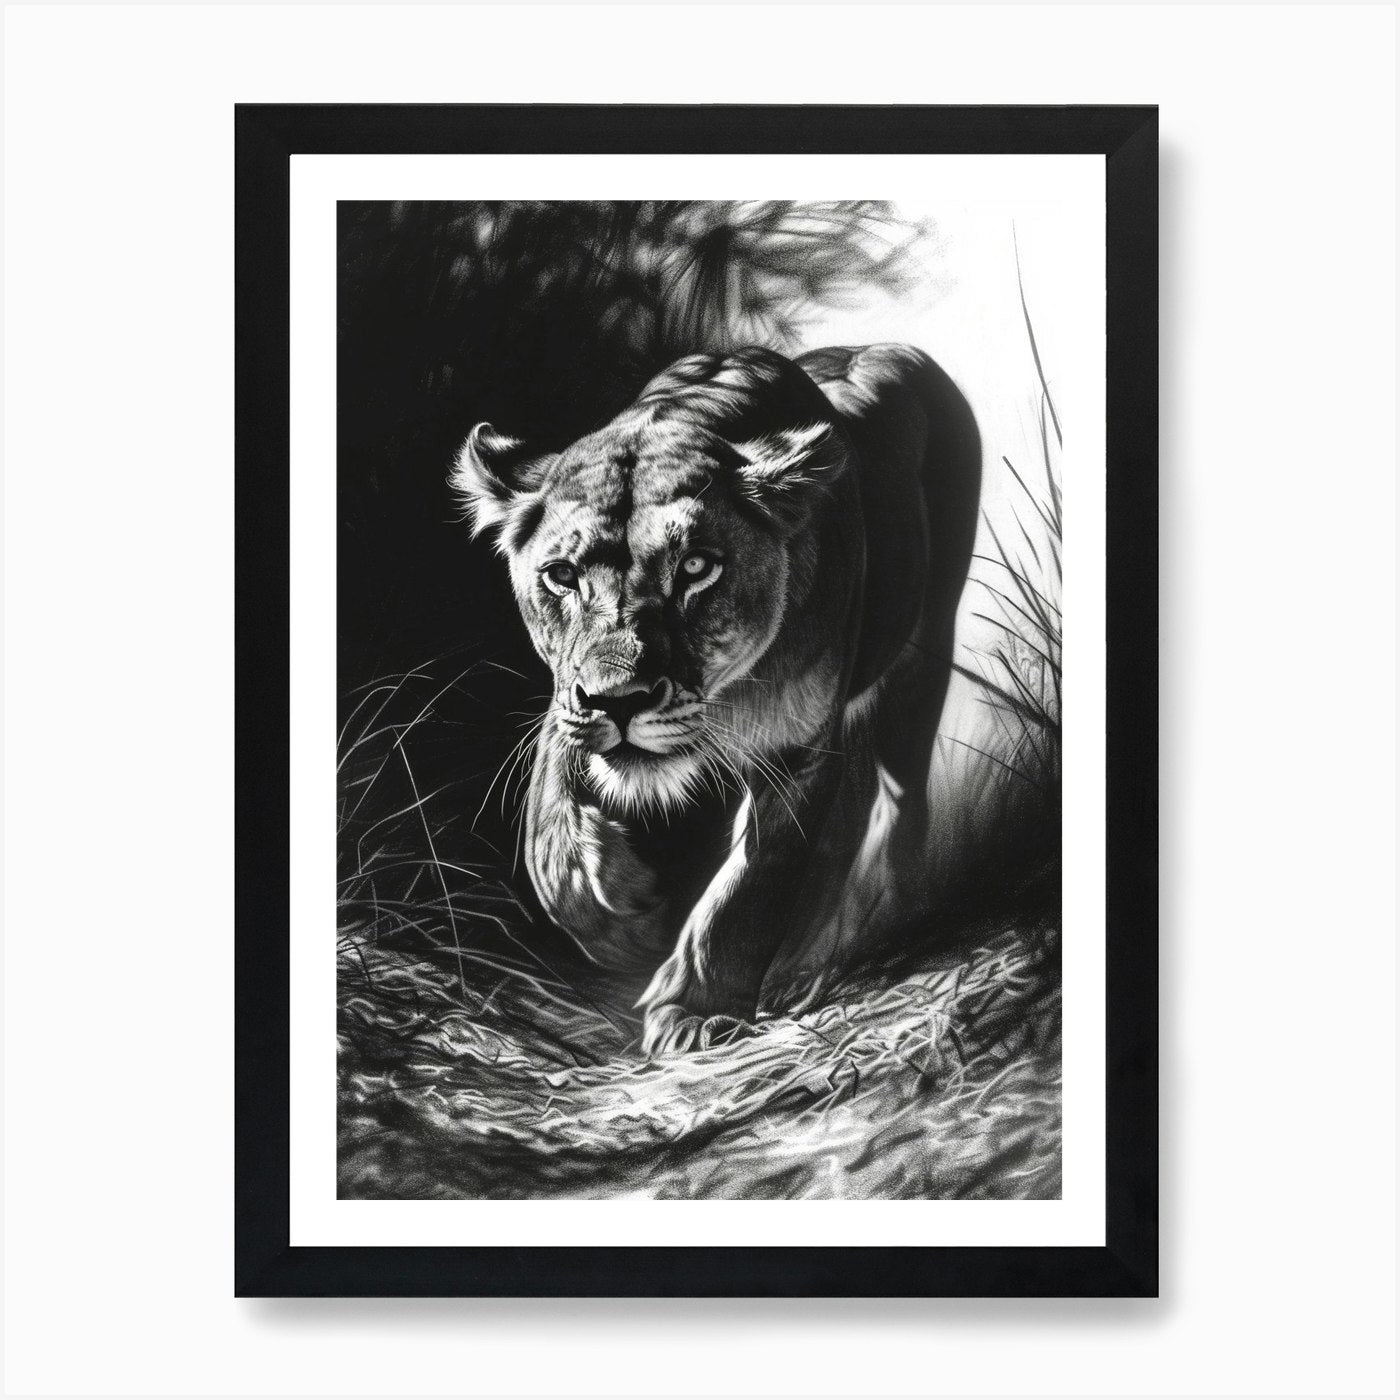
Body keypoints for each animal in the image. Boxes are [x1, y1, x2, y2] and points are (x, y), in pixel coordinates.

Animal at [452, 345, 980, 1054]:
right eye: (563, 576)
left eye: (697, 568)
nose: (619, 701)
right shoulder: (566, 709)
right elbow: (547, 836)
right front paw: (629, 922)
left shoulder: (796, 751)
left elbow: (747, 891)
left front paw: (693, 1011)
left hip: (919, 660)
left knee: (900, 805)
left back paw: (882, 920)